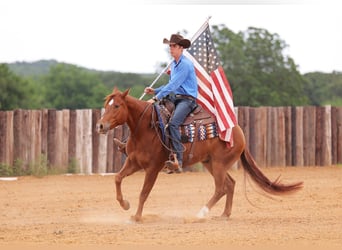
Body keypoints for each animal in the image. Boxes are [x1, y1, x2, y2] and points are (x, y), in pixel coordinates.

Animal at [95, 87, 302, 221]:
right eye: (106, 105)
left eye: (117, 106)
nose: (100, 126)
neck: (146, 127)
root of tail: (237, 129)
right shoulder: (133, 162)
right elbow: (117, 178)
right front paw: (125, 204)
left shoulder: (153, 168)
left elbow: (144, 192)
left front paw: (137, 216)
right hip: (211, 163)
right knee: (230, 184)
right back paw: (224, 214)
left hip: (219, 164)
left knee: (220, 188)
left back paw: (201, 213)